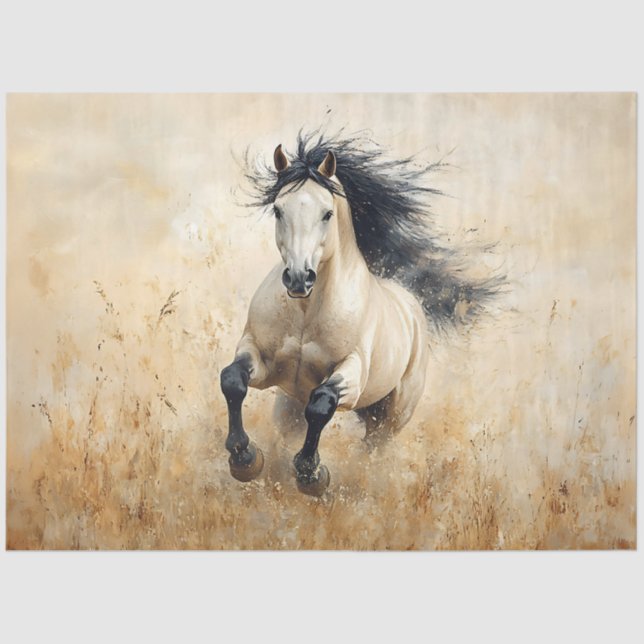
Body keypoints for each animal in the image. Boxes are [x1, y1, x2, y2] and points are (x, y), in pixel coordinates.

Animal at [220, 131, 499, 496]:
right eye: (278, 210)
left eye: (327, 213)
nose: (298, 278)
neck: (306, 313)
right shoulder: (261, 358)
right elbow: (232, 380)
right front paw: (245, 458)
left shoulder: (352, 372)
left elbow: (321, 402)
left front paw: (311, 474)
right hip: (289, 405)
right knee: (287, 431)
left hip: (389, 418)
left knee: (372, 450)